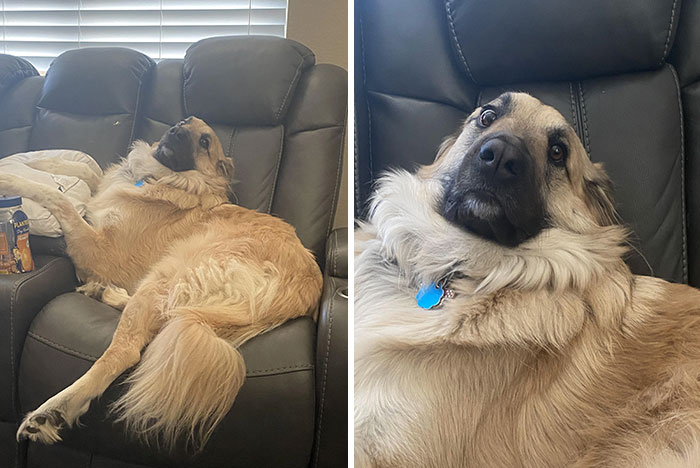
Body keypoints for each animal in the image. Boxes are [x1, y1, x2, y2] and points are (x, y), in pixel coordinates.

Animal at [0, 117, 322, 454]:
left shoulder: (99, 250)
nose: (176, 130)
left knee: (127, 349)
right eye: (184, 122)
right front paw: (29, 160)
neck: (162, 179)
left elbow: (57, 196)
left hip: (169, 272)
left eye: (205, 142)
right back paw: (103, 292)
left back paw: (51, 412)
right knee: (159, 316)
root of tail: (306, 287)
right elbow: (89, 170)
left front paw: (9, 178)